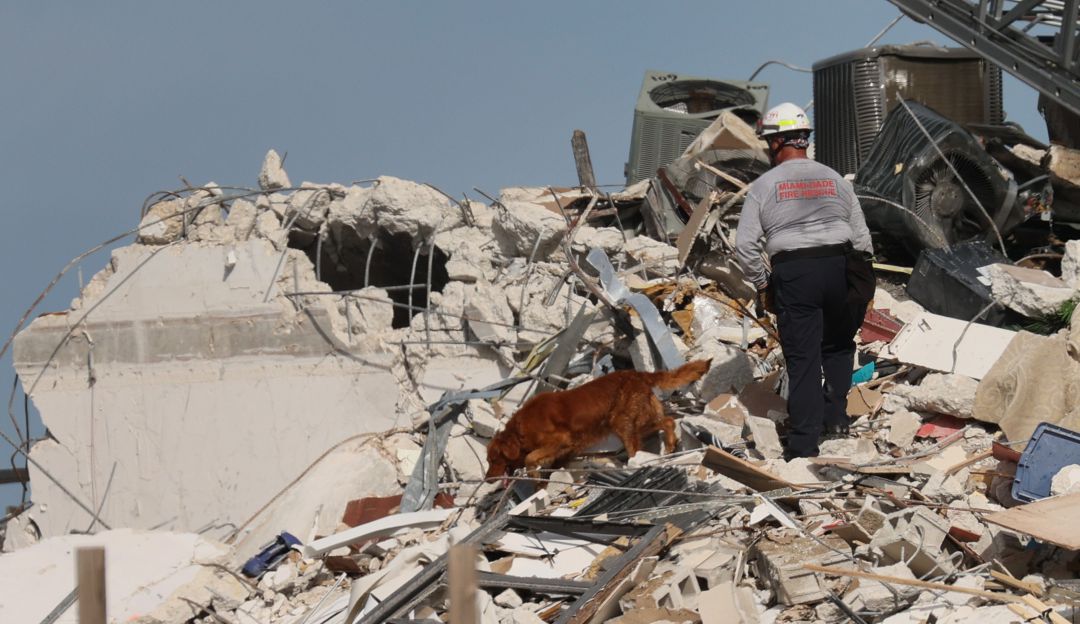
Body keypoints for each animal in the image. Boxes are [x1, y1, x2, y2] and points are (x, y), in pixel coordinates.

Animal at [486, 356, 712, 479]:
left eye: (493, 460)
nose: (487, 478)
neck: (520, 430)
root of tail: (639, 374)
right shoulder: (566, 449)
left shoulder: (560, 440)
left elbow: (530, 457)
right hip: (636, 420)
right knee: (668, 421)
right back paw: (671, 445)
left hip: (623, 422)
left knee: (639, 443)